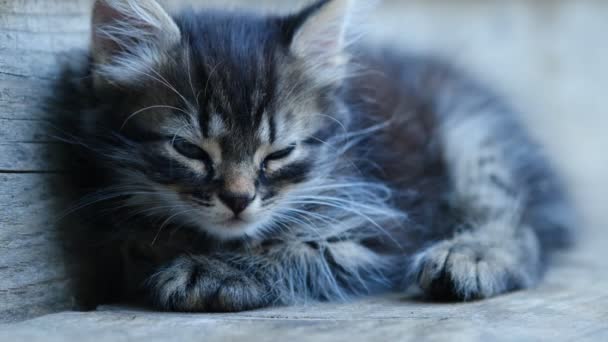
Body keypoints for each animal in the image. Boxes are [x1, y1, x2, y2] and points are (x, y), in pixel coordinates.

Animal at [51, 0, 576, 312]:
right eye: (188, 149)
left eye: (280, 153)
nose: (238, 200)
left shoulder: (381, 231)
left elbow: (300, 249)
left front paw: (216, 271)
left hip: (473, 134)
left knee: (516, 222)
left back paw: (471, 257)